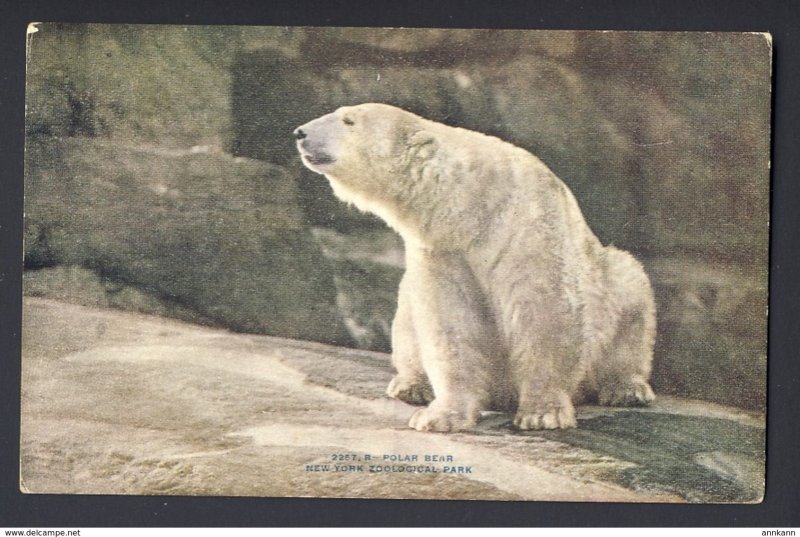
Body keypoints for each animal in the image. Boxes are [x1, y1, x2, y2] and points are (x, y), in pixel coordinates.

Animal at [294, 103, 656, 432]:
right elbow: (450, 323)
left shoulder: (527, 226)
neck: (473, 205)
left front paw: (543, 414)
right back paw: (410, 385)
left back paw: (627, 388)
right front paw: (439, 416)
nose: (300, 132)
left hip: (613, 280)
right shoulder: (442, 250)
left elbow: (544, 309)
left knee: (632, 299)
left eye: (349, 120)